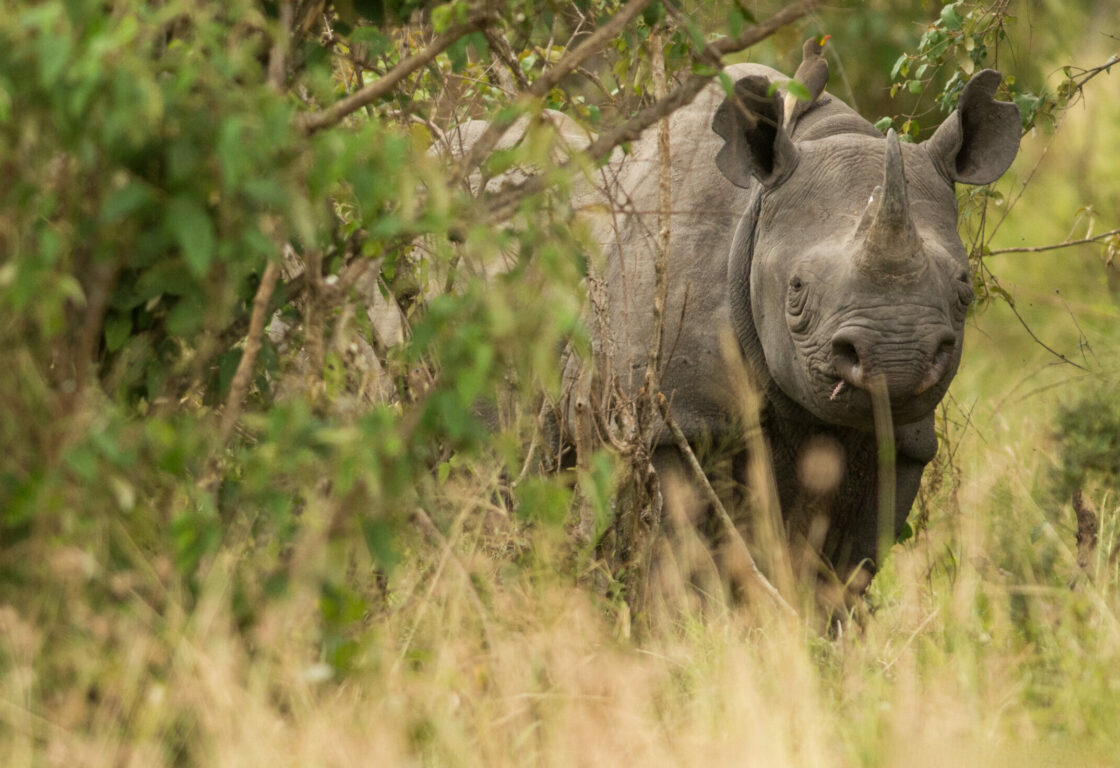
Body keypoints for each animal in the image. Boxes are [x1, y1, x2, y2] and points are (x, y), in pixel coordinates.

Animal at [560, 62, 1021, 590]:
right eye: (796, 288)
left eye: (965, 288)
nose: (895, 360)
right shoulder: (672, 420)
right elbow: (676, 557)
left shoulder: (904, 444)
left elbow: (840, 568)